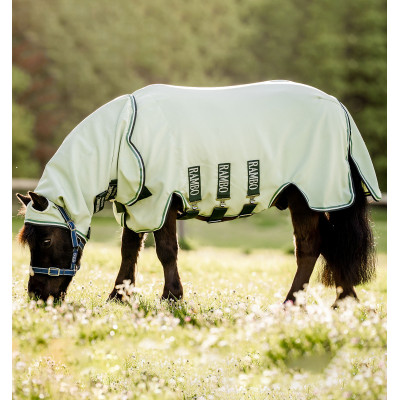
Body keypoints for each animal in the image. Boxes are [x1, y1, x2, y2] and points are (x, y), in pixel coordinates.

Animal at [15, 81, 380, 306]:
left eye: (45, 240)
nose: (37, 296)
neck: (123, 138)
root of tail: (338, 108)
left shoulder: (162, 203)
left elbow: (166, 252)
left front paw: (171, 298)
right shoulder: (136, 208)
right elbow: (129, 251)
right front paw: (118, 298)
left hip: (308, 196)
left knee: (311, 247)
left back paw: (295, 302)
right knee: (332, 245)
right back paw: (343, 300)